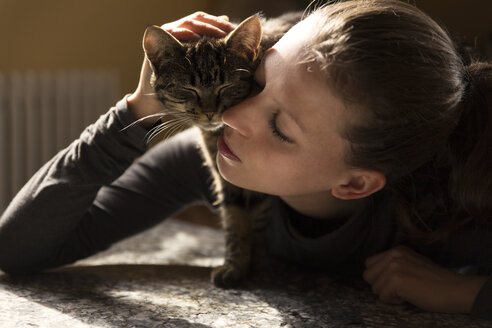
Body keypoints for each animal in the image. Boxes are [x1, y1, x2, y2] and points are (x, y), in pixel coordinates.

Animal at [141, 12, 300, 288]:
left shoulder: (262, 175)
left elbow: (257, 220)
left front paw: (256, 265)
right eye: (188, 90)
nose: (209, 112)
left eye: (225, 87)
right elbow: (235, 222)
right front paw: (235, 265)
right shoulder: (225, 178)